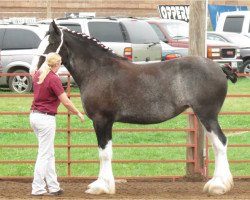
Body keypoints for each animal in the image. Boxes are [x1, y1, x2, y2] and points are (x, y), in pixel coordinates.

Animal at [32, 21, 237, 195]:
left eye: (51, 42)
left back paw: (218, 186)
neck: (98, 70)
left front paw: (101, 186)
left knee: (220, 143)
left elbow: (104, 153)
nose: (35, 70)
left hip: (207, 115)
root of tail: (219, 68)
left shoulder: (102, 120)